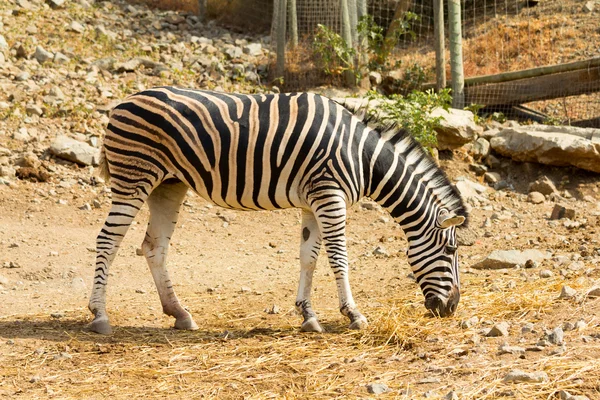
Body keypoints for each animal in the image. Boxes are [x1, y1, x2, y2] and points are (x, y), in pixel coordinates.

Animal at [89, 86, 466, 334]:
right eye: (451, 250)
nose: (451, 308)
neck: (364, 157)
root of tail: (123, 102)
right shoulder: (331, 197)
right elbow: (338, 258)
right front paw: (353, 315)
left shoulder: (314, 203)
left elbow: (308, 257)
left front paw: (308, 316)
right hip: (134, 177)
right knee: (107, 241)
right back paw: (99, 316)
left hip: (168, 185)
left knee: (154, 247)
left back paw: (180, 314)